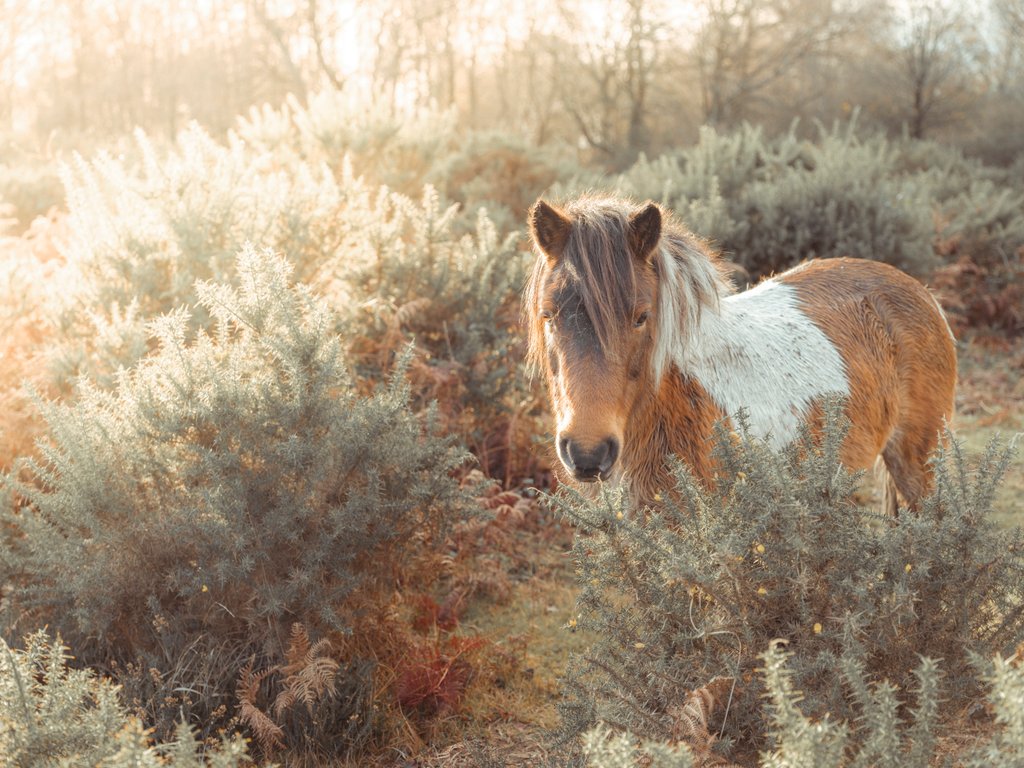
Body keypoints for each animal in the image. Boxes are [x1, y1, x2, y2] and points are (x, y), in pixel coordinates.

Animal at [523, 195, 957, 512]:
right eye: (548, 314)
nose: (587, 452)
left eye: (641, 317)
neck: (677, 398)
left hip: (918, 465)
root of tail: (921, 292)